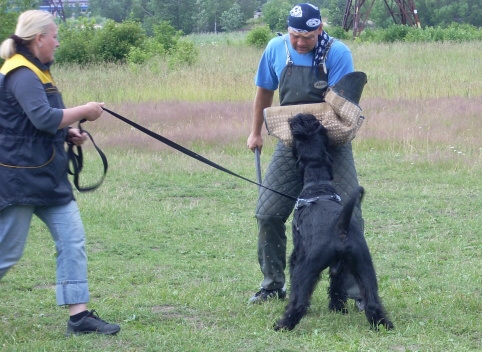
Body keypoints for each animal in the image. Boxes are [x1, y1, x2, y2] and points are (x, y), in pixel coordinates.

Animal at [274, 114, 394, 332]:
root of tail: (341, 229)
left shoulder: (298, 253)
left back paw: (283, 324)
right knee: (373, 301)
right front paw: (337, 307)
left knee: (299, 301)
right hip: (364, 266)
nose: (298, 117)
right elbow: (337, 285)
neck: (318, 184)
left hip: (308, 267)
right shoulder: (341, 266)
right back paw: (383, 324)